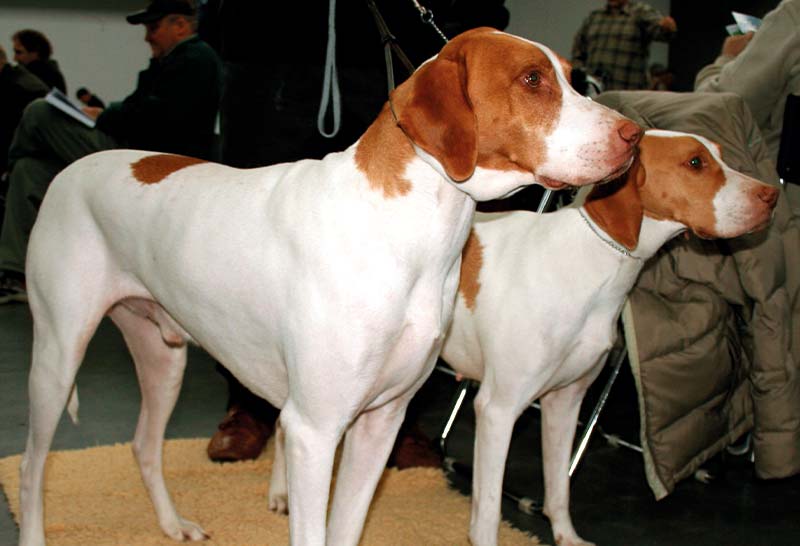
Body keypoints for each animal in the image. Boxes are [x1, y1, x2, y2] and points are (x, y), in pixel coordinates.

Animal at [17, 28, 636, 544]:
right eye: (532, 80)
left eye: (571, 76)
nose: (633, 135)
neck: (404, 228)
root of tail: (70, 171)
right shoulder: (315, 431)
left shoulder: (379, 423)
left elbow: (348, 527)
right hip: (56, 358)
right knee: (31, 465)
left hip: (162, 356)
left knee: (144, 446)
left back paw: (173, 525)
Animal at [438, 129, 780, 544]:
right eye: (695, 163)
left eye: (720, 155)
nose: (772, 195)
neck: (592, 261)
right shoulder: (497, 410)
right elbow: (487, 514)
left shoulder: (564, 402)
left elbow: (558, 489)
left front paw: (566, 536)